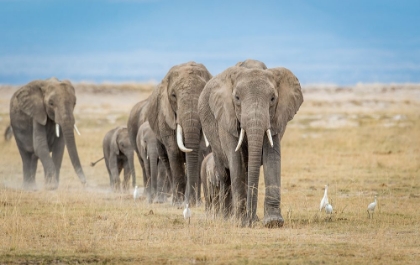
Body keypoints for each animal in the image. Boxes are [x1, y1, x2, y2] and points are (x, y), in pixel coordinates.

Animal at [148, 60, 213, 205]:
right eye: (173, 96)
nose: (191, 201)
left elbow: (199, 151)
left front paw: (193, 203)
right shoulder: (165, 116)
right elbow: (174, 151)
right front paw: (178, 203)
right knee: (166, 161)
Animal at [199, 58, 304, 226]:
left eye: (273, 98)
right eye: (237, 98)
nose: (250, 220)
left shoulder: (275, 117)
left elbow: (272, 157)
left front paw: (273, 222)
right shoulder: (226, 115)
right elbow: (235, 159)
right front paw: (241, 222)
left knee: (247, 171)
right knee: (225, 174)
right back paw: (226, 217)